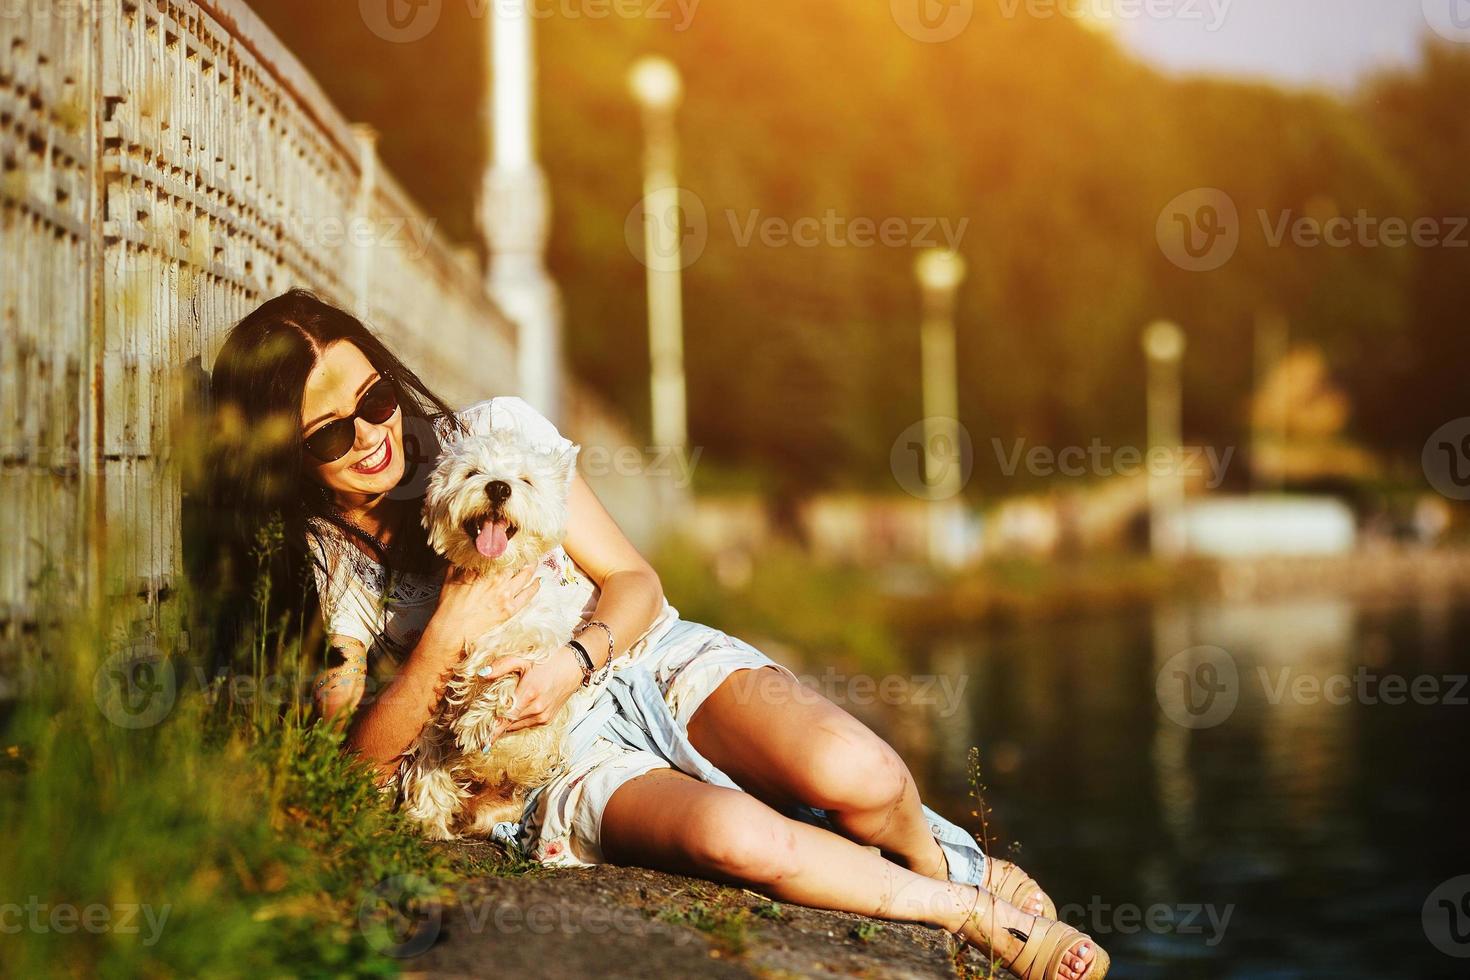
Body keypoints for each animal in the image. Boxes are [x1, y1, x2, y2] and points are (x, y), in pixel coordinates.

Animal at [402, 426, 590, 840]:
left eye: (526, 480)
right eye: (472, 472)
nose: (499, 487)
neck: (491, 575)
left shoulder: (539, 645)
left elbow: (511, 676)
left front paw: (477, 722)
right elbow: (428, 747)